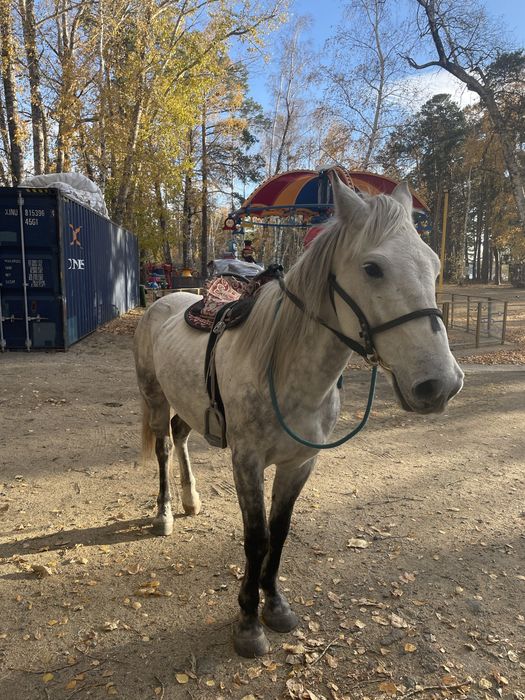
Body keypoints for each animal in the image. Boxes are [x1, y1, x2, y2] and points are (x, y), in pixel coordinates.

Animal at [133, 171, 464, 658]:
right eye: (372, 268)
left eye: (434, 265)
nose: (439, 384)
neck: (286, 367)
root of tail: (165, 300)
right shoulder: (247, 462)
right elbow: (256, 539)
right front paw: (248, 622)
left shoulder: (300, 463)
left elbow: (280, 531)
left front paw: (275, 605)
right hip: (155, 397)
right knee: (161, 448)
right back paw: (165, 513)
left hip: (188, 404)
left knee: (180, 436)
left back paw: (191, 499)